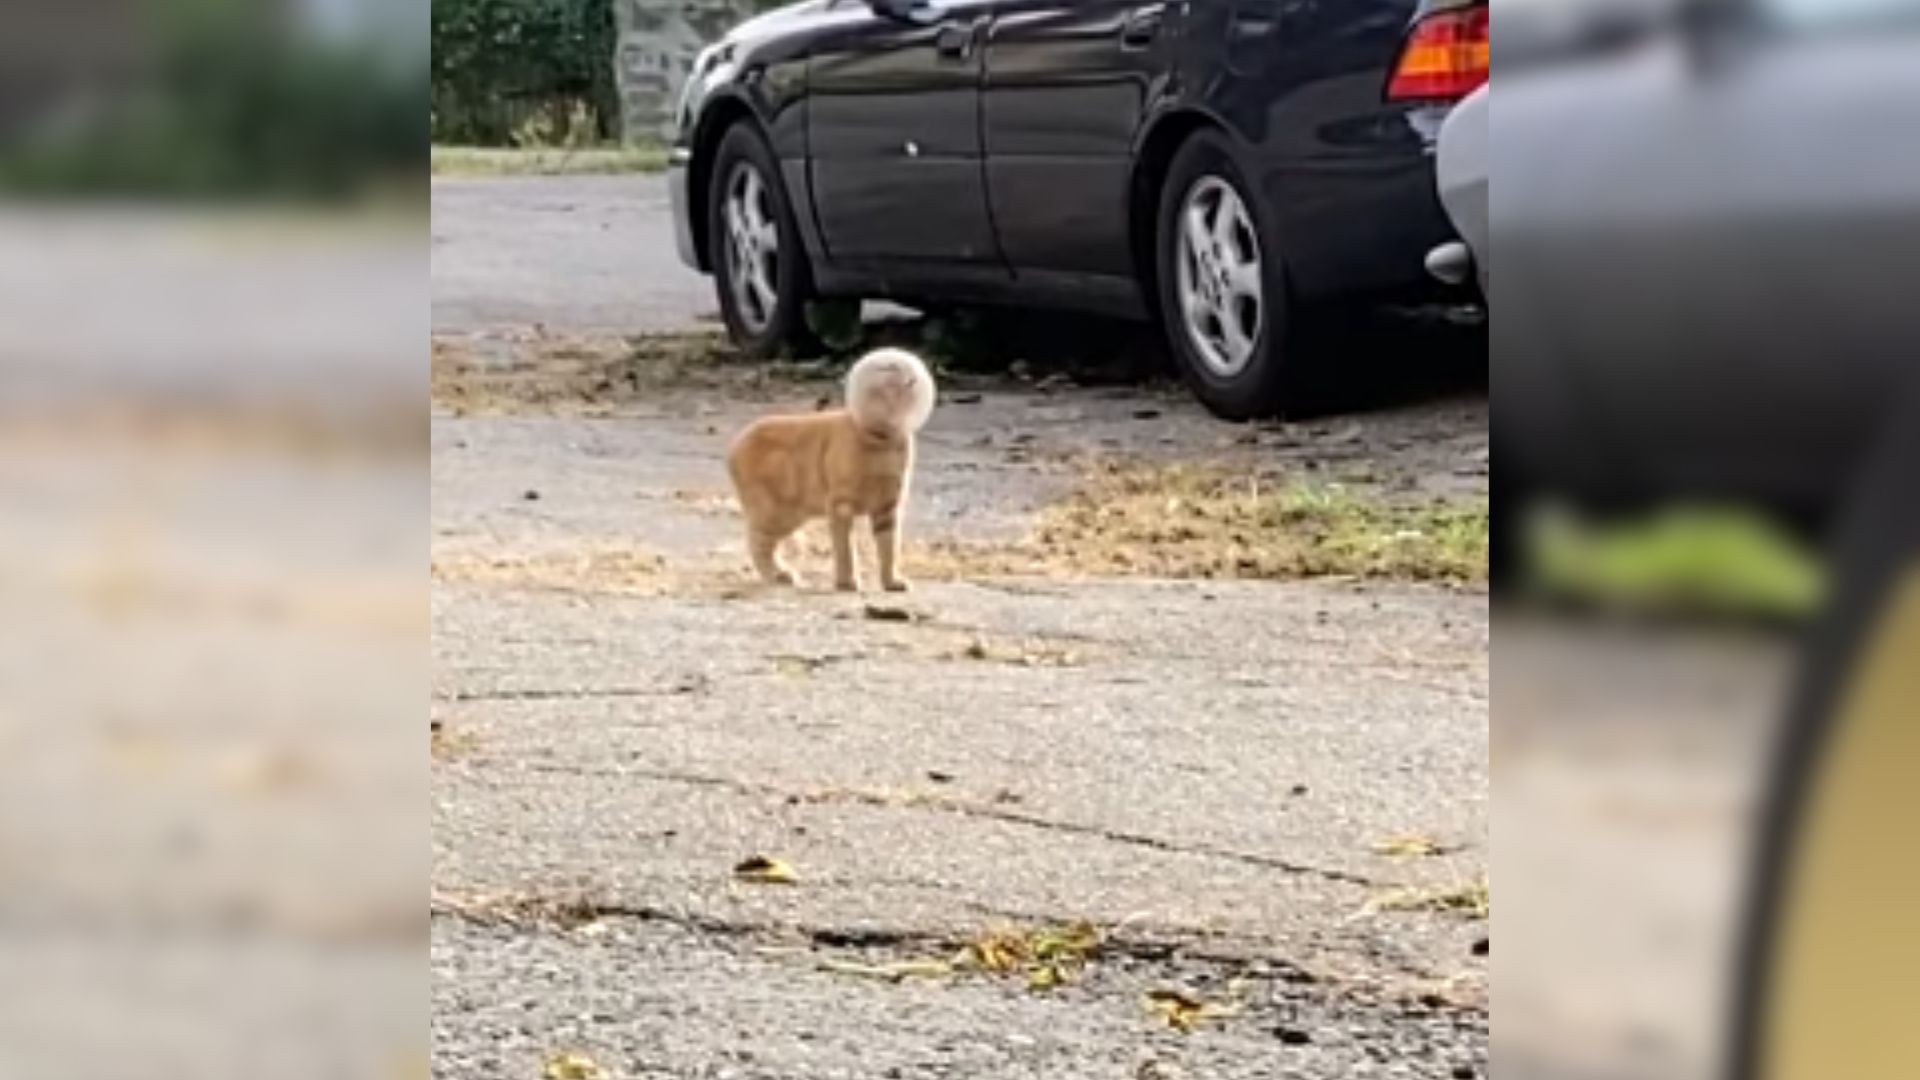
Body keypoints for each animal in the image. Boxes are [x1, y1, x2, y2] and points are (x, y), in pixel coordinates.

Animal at [725, 345, 936, 588]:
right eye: (888, 366)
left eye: (912, 367)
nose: (909, 377)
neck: (882, 440)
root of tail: (736, 443)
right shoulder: (840, 505)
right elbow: (846, 548)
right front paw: (847, 582)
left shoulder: (888, 507)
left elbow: (889, 548)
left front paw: (892, 582)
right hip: (777, 513)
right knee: (756, 540)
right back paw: (778, 576)